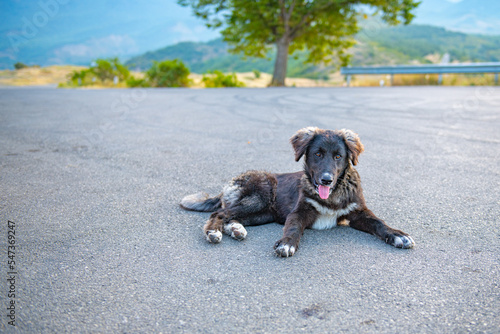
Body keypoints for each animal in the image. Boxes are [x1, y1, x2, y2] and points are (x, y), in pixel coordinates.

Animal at [180, 126, 414, 258]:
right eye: (318, 154)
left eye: (338, 156)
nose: (326, 179)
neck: (333, 195)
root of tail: (226, 186)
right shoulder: (299, 212)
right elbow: (293, 228)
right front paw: (286, 244)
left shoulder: (358, 213)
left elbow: (379, 223)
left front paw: (398, 235)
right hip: (260, 195)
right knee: (220, 213)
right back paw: (213, 232)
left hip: (264, 213)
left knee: (233, 217)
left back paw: (236, 229)